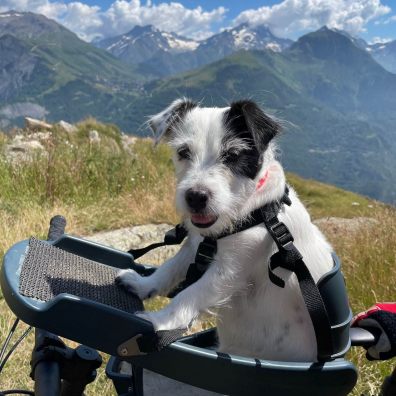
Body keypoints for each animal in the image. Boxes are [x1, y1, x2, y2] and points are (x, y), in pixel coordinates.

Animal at [117, 98, 334, 362]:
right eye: (183, 152)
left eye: (232, 155)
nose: (195, 197)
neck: (250, 211)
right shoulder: (194, 247)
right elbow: (169, 269)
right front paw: (142, 284)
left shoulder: (229, 271)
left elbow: (188, 295)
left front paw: (159, 320)